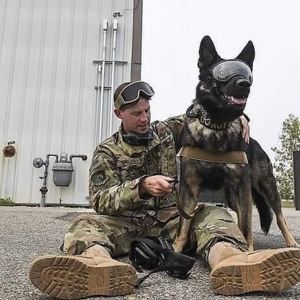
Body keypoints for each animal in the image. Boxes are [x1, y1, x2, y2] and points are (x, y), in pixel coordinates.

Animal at [172, 35, 298, 253]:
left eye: (247, 73)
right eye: (222, 74)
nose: (244, 83)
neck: (216, 126)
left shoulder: (243, 187)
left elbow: (247, 227)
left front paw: (248, 252)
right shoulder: (189, 189)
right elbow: (183, 227)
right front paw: (175, 251)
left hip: (267, 187)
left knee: (278, 216)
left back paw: (291, 242)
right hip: (232, 196)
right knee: (240, 216)